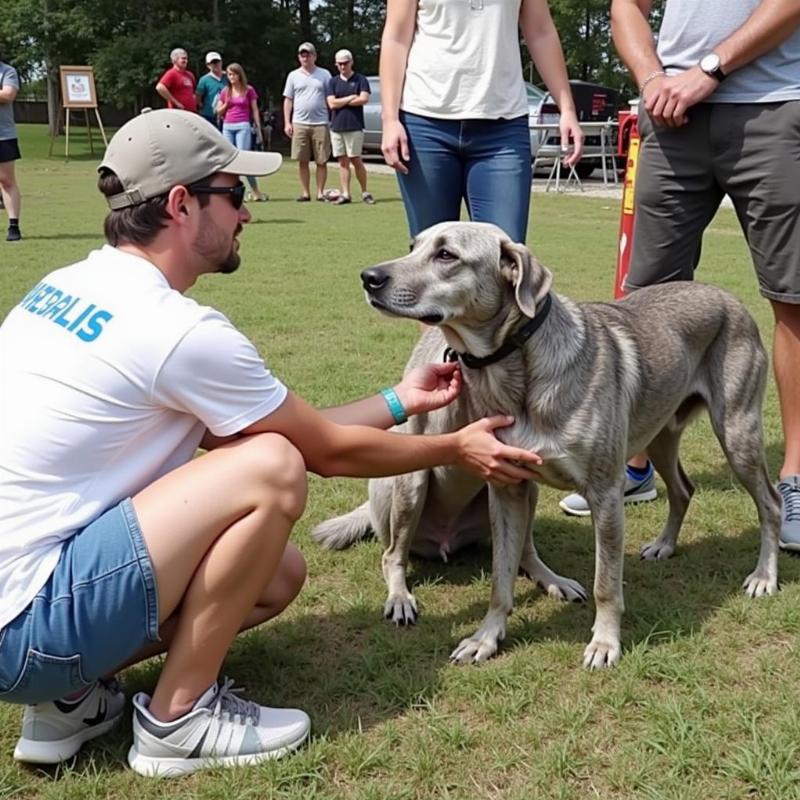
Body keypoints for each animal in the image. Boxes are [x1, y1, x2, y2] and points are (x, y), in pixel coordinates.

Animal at [314, 220, 780, 668]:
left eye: (446, 254)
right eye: (413, 246)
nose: (369, 277)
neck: (515, 368)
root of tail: (729, 298)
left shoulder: (605, 495)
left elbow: (606, 583)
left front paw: (605, 643)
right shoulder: (506, 486)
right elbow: (500, 580)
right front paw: (486, 639)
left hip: (736, 434)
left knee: (767, 503)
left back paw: (764, 576)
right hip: (420, 484)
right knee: (394, 554)